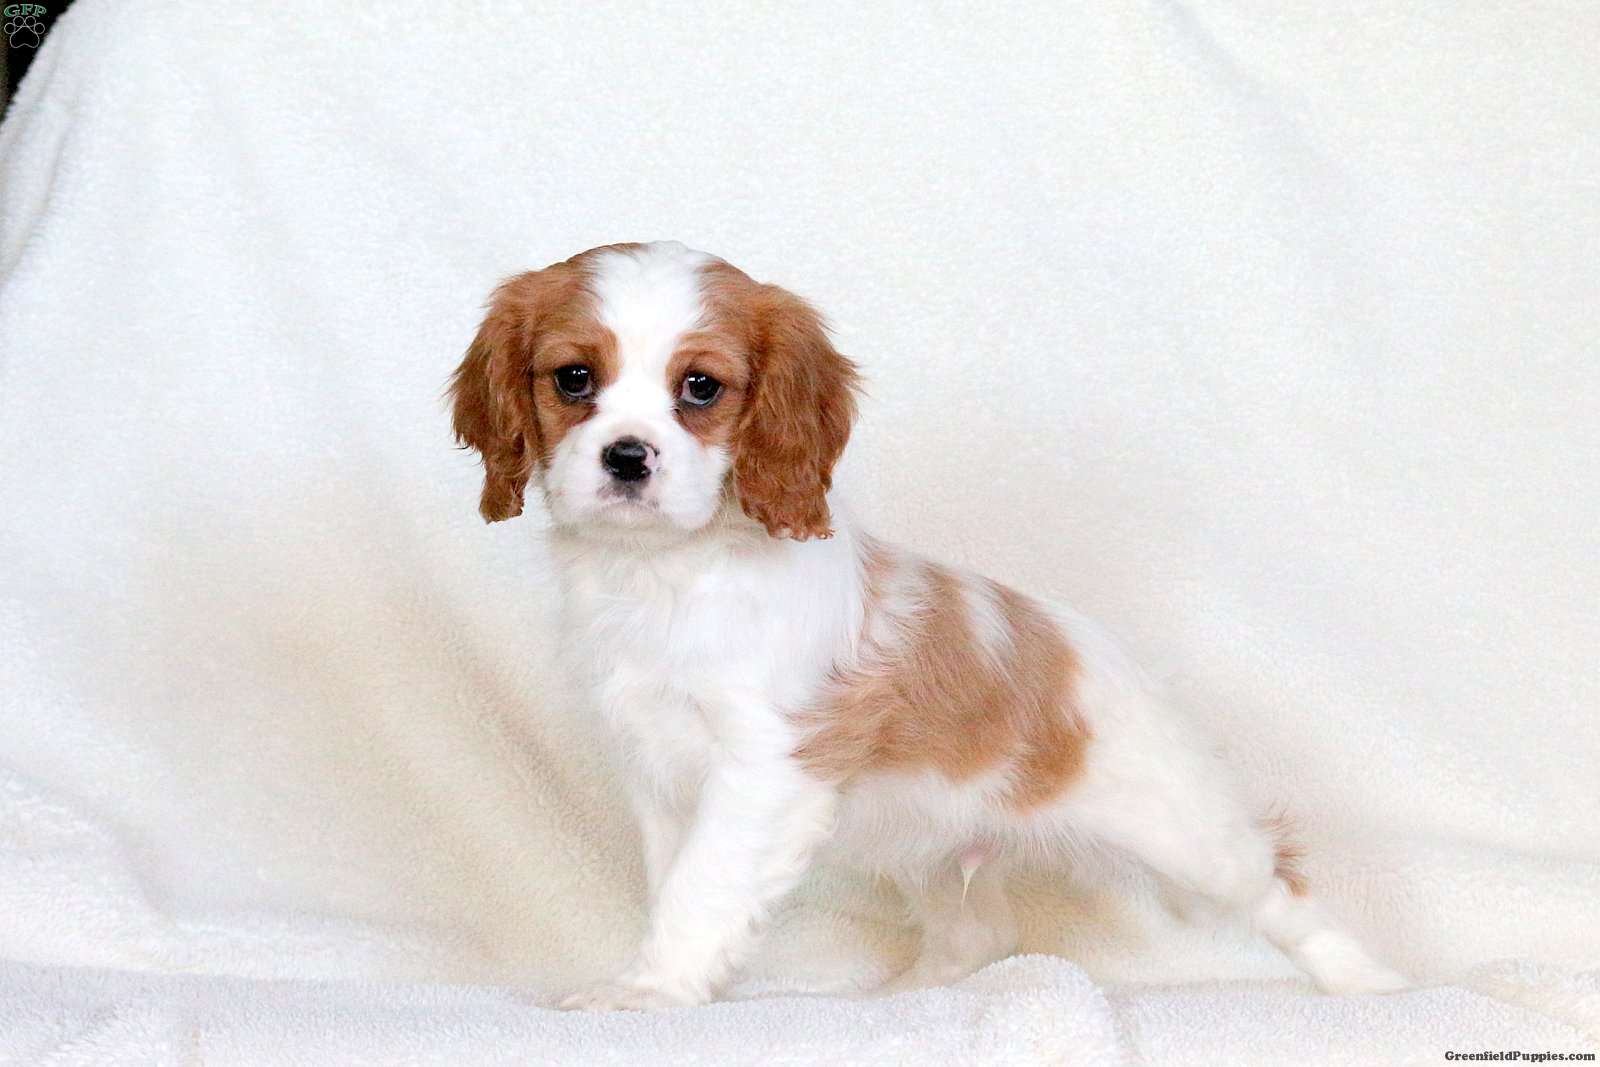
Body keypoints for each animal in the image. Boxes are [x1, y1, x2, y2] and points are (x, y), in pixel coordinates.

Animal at [448, 240, 1408, 1010]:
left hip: (1186, 834)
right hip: (930, 846)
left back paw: (1375, 988)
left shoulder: (764, 767)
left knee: (1279, 888)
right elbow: (672, 881)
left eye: (700, 387)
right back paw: (905, 996)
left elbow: (701, 888)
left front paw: (648, 992)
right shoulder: (656, 771)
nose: (627, 457)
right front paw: (673, 980)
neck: (663, 571)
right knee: (978, 932)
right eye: (574, 378)